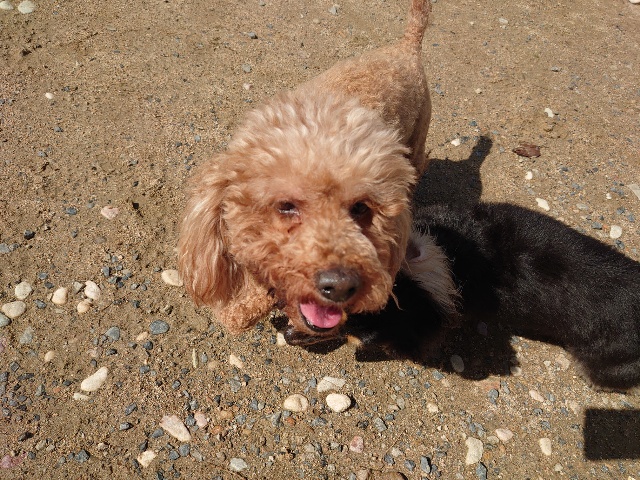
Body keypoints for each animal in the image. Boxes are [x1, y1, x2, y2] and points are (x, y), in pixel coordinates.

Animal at [178, 0, 433, 337]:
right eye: (285, 206)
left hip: (418, 136)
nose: (339, 286)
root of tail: (406, 46)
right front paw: (243, 309)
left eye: (361, 208)